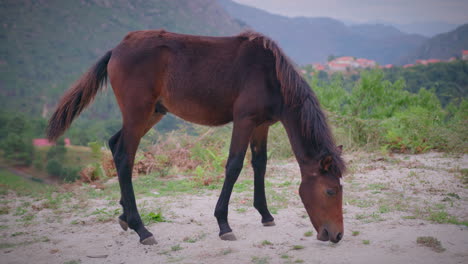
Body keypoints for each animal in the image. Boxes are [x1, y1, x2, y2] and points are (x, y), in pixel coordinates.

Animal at [47, 30, 346, 245]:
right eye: (330, 191)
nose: (337, 235)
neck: (271, 75)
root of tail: (117, 50)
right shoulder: (244, 121)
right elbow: (234, 165)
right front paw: (223, 224)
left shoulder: (262, 125)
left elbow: (259, 164)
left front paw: (265, 214)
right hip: (137, 113)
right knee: (124, 156)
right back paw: (141, 228)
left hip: (152, 113)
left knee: (114, 144)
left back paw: (124, 215)